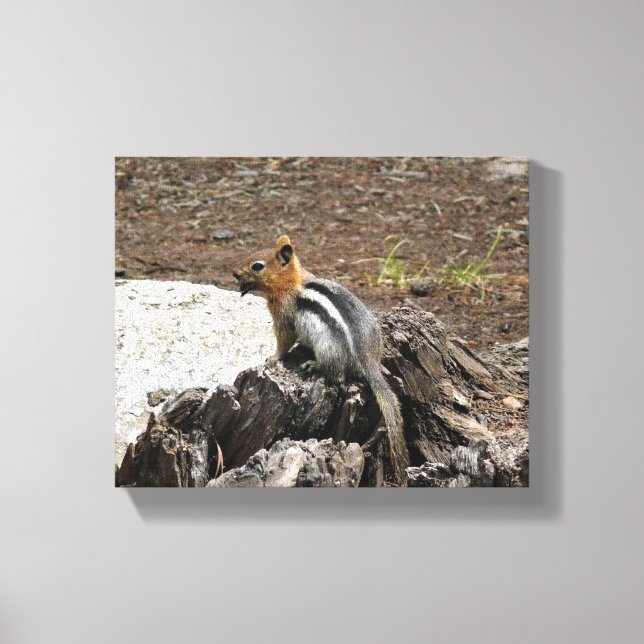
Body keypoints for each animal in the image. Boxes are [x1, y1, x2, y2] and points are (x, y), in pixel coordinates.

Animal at [233, 234, 410, 485]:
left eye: (257, 266)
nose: (234, 273)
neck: (293, 282)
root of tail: (368, 359)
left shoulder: (285, 317)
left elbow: (285, 340)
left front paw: (273, 358)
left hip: (329, 349)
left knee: (338, 375)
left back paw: (313, 364)